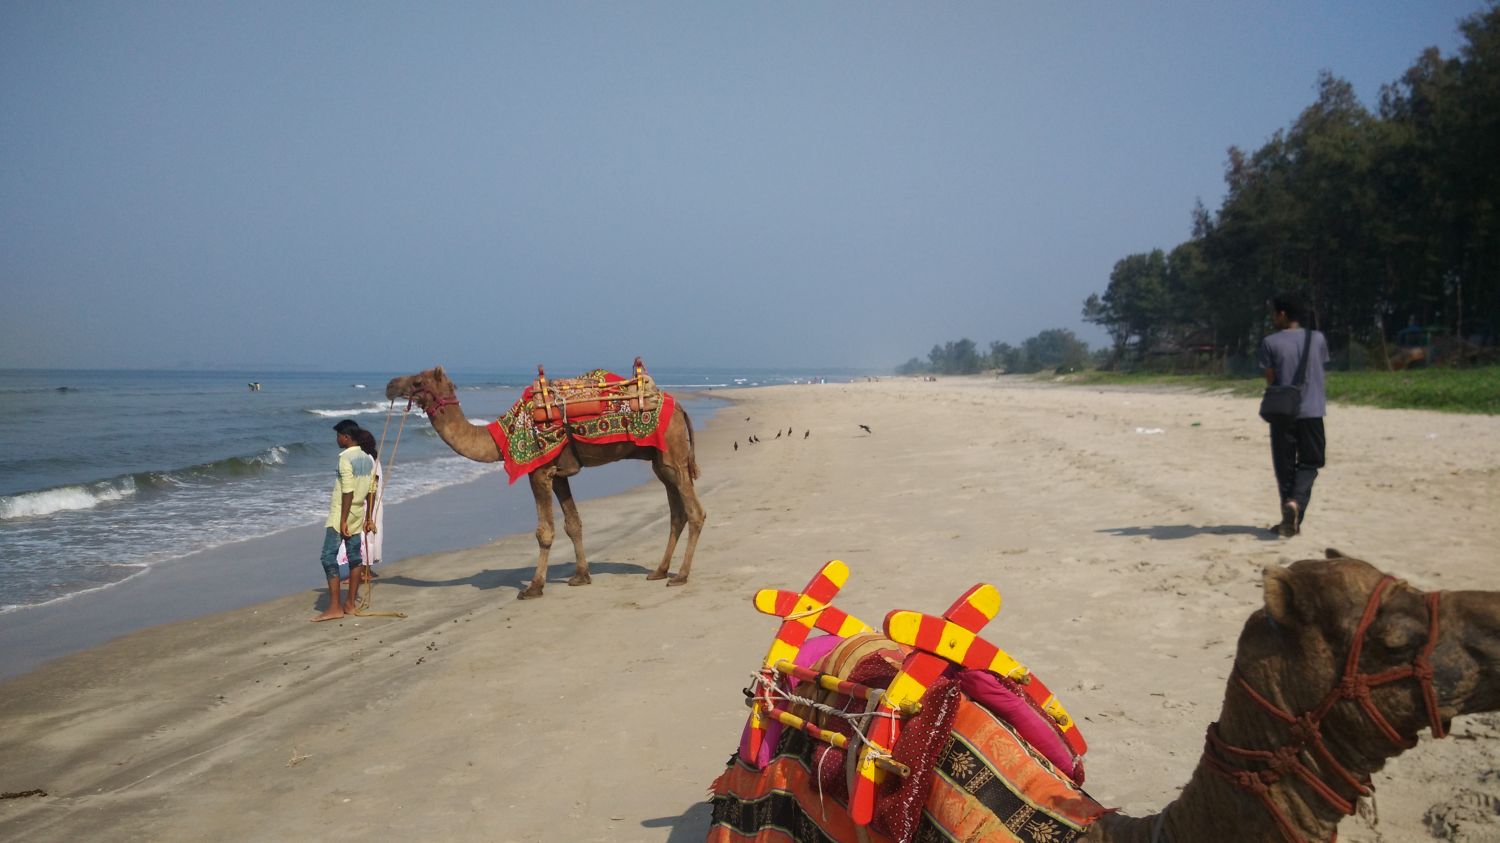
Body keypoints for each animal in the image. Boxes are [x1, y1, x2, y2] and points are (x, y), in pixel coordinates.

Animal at [393, 363, 708, 597]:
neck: (502, 437)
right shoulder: (557, 474)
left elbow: (544, 531)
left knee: (695, 512)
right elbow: (573, 523)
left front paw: (534, 587)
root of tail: (679, 407)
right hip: (661, 462)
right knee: (677, 512)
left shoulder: (539, 471)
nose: (391, 384)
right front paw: (581, 576)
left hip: (673, 456)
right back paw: (659, 571)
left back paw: (680, 575)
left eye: (417, 382)